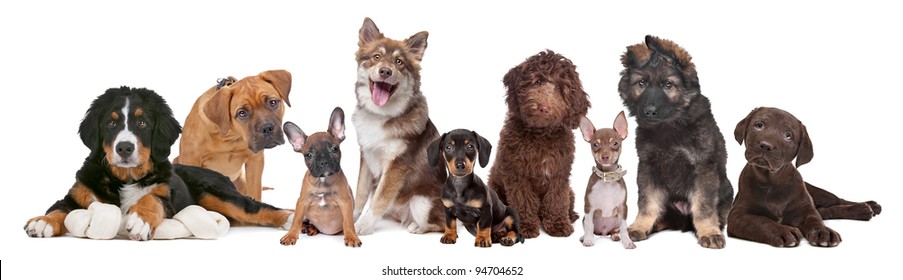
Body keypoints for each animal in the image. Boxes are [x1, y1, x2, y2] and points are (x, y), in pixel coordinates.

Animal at [24, 86, 294, 240]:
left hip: (217, 194)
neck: (125, 178)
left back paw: (291, 220)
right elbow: (60, 208)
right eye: (110, 123)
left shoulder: (168, 195)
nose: (124, 148)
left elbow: (152, 198)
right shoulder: (78, 194)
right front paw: (42, 222)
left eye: (142, 123)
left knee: (258, 209)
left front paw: (140, 220)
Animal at [352, 17, 446, 235]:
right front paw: (351, 218)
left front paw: (363, 226)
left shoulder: (397, 165)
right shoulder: (366, 156)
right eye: (377, 57)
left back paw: (416, 226)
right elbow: (360, 193)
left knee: (442, 223)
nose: (385, 71)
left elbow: (379, 198)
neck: (381, 115)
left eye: (399, 62)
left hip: (422, 202)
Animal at [490, 49, 588, 237]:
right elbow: (523, 200)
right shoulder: (516, 173)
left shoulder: (559, 173)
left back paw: (571, 215)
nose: (544, 108)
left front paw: (558, 224)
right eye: (538, 81)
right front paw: (526, 225)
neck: (541, 134)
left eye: (560, 88)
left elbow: (556, 199)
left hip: (570, 190)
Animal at [616, 35, 740, 249]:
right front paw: (639, 226)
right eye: (642, 83)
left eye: (668, 85)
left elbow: (703, 206)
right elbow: (647, 203)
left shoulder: (703, 168)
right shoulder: (648, 167)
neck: (669, 126)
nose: (649, 112)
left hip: (726, 190)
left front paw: (708, 231)